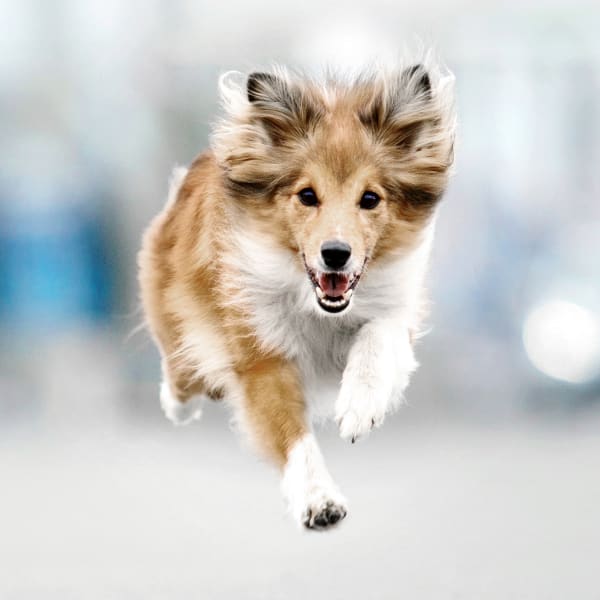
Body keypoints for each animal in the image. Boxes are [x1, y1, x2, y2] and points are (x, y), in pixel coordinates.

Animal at [137, 55, 454, 528]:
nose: (336, 255)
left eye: (370, 198)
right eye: (307, 195)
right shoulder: (262, 355)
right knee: (181, 366)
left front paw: (360, 406)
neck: (319, 307)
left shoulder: (396, 308)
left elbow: (380, 335)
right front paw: (319, 500)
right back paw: (179, 403)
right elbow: (291, 434)